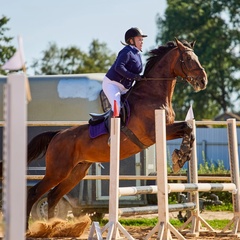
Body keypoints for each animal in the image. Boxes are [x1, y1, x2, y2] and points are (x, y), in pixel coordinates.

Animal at [25, 38, 206, 228]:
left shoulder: (167, 129)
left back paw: (53, 227)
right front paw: (180, 156)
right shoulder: (154, 133)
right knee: (35, 193)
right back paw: (30, 228)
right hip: (58, 171)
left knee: (53, 196)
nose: (203, 81)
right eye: (188, 58)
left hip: (76, 172)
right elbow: (187, 127)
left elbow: (188, 128)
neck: (152, 95)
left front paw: (182, 156)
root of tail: (57, 135)